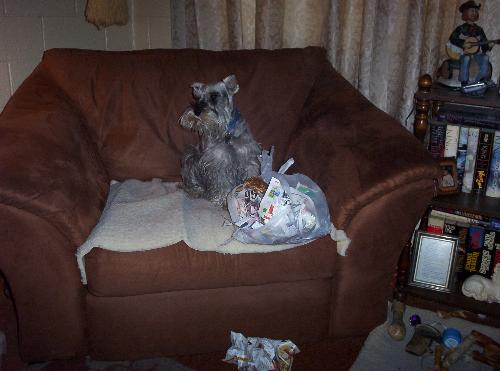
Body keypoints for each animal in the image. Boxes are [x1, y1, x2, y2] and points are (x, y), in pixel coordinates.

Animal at [179, 75, 260, 206]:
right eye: (198, 97)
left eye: (214, 95)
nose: (196, 112)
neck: (227, 133)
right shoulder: (218, 161)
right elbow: (222, 182)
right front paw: (223, 199)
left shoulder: (248, 158)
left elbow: (251, 174)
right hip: (190, 155)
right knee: (190, 182)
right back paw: (195, 191)